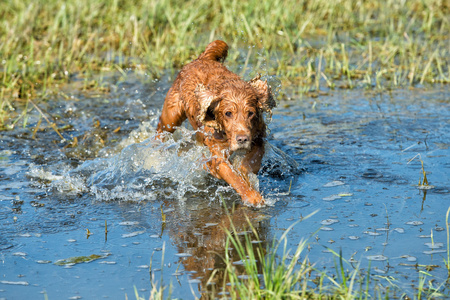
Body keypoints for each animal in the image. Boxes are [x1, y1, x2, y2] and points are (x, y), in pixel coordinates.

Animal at [156, 40, 276, 206]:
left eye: (250, 113)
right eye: (228, 113)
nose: (242, 139)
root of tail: (201, 58)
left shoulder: (258, 136)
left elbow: (252, 160)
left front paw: (245, 171)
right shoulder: (218, 154)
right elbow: (233, 176)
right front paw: (253, 197)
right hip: (172, 115)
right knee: (160, 128)